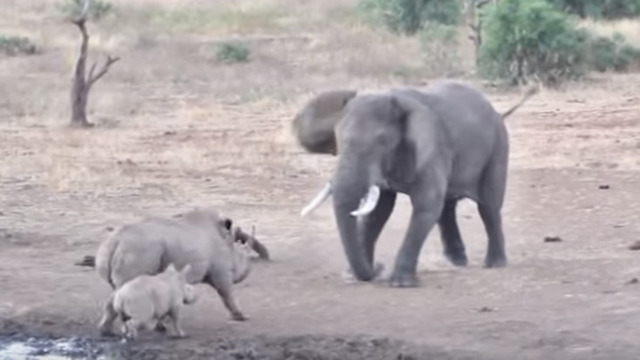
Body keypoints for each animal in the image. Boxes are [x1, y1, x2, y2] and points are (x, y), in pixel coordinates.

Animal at [292, 80, 536, 288]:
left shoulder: (432, 148)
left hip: (498, 147)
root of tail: (496, 111)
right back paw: (456, 262)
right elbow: (378, 213)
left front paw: (401, 283)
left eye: (382, 141)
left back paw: (494, 264)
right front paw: (354, 276)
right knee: (446, 207)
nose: (378, 267)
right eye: (338, 141)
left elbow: (425, 205)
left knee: (488, 206)